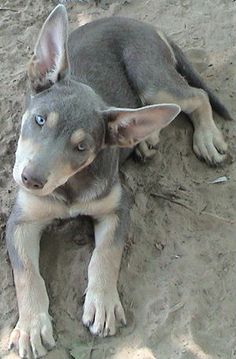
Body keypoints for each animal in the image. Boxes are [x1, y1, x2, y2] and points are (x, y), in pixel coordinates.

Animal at [6, 4, 231, 358]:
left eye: (82, 147)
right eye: (40, 120)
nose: (31, 180)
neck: (69, 186)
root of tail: (144, 25)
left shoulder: (117, 209)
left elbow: (105, 255)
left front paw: (102, 303)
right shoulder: (20, 221)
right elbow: (27, 273)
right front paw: (31, 326)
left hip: (151, 77)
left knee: (194, 97)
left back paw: (207, 138)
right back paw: (145, 138)